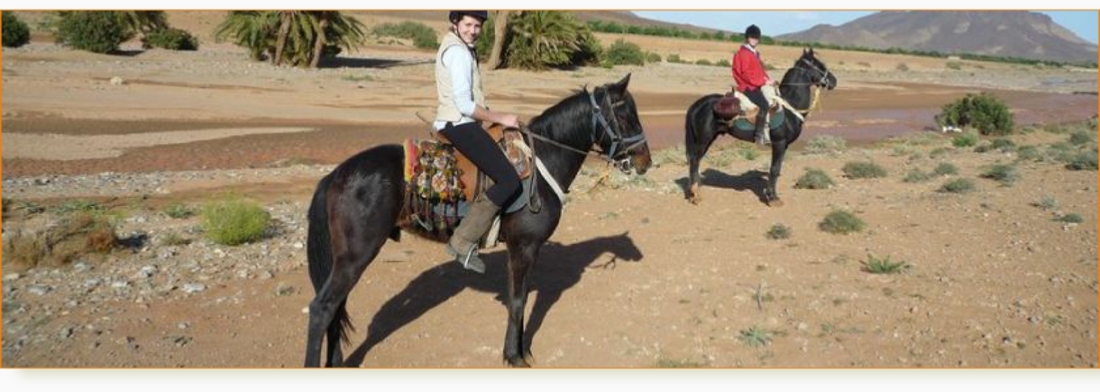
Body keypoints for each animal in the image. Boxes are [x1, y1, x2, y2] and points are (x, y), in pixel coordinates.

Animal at [301, 74, 646, 367]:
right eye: (625, 116)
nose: (645, 160)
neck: (544, 160)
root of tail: (335, 175)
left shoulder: (520, 249)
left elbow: (518, 296)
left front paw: (519, 350)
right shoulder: (525, 246)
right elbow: (518, 300)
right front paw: (514, 356)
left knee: (335, 308)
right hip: (356, 255)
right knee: (323, 308)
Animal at [682, 48, 836, 204]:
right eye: (819, 65)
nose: (834, 81)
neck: (789, 106)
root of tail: (697, 104)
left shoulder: (785, 145)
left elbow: (776, 168)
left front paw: (771, 195)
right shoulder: (779, 143)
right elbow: (774, 169)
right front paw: (772, 198)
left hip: (708, 139)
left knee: (696, 161)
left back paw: (694, 192)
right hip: (704, 139)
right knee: (694, 160)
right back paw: (695, 195)